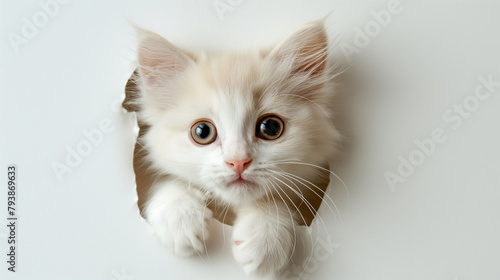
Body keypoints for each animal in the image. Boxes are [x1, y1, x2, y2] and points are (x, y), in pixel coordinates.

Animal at [135, 19, 342, 276]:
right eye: (202, 131)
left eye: (271, 127)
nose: (238, 162)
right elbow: (168, 181)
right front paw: (179, 218)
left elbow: (273, 199)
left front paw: (265, 238)